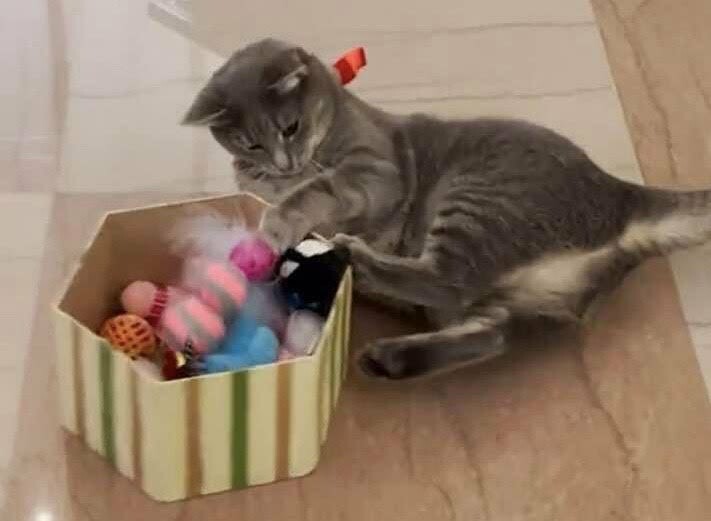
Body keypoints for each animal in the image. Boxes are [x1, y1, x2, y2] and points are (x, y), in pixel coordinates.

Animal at [183, 38, 711, 380]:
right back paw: (390, 361)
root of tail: (622, 194)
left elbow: (315, 190)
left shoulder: (375, 172)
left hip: (475, 203)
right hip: (505, 295)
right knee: (490, 332)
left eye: (289, 128)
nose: (283, 161)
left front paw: (276, 221)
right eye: (251, 143)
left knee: (447, 278)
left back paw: (356, 259)